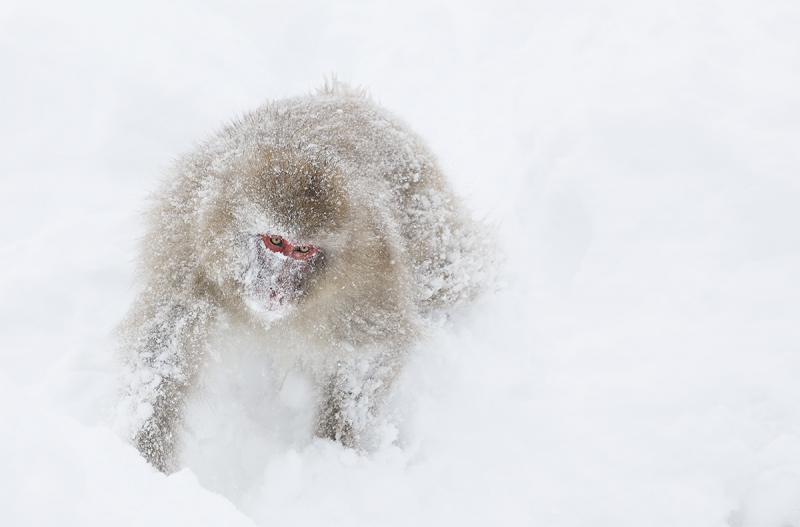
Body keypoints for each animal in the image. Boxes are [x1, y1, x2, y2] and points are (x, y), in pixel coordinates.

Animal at [117, 81, 494, 474]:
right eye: (276, 241)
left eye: (302, 250)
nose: (275, 291)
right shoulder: (189, 247)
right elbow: (165, 343)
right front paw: (147, 453)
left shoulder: (368, 281)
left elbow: (367, 355)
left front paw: (335, 453)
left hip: (431, 226)